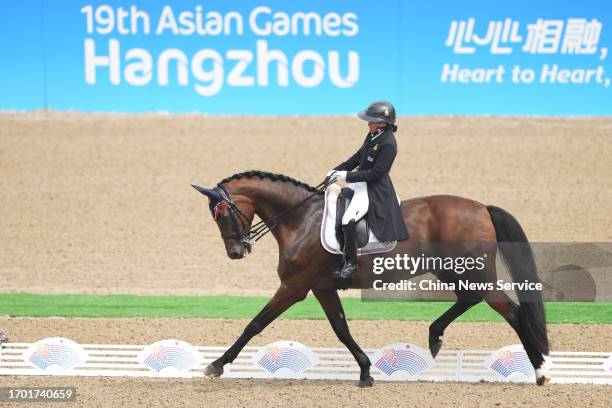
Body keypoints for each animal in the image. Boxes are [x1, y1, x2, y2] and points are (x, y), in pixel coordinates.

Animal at [192, 171, 548, 388]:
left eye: (223, 214)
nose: (236, 252)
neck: (300, 220)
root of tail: (483, 208)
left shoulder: (294, 287)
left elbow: (254, 324)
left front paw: (217, 365)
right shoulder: (321, 287)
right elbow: (341, 329)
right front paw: (365, 371)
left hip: (472, 272)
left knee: (512, 312)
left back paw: (541, 371)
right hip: (454, 271)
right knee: (471, 300)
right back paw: (435, 337)